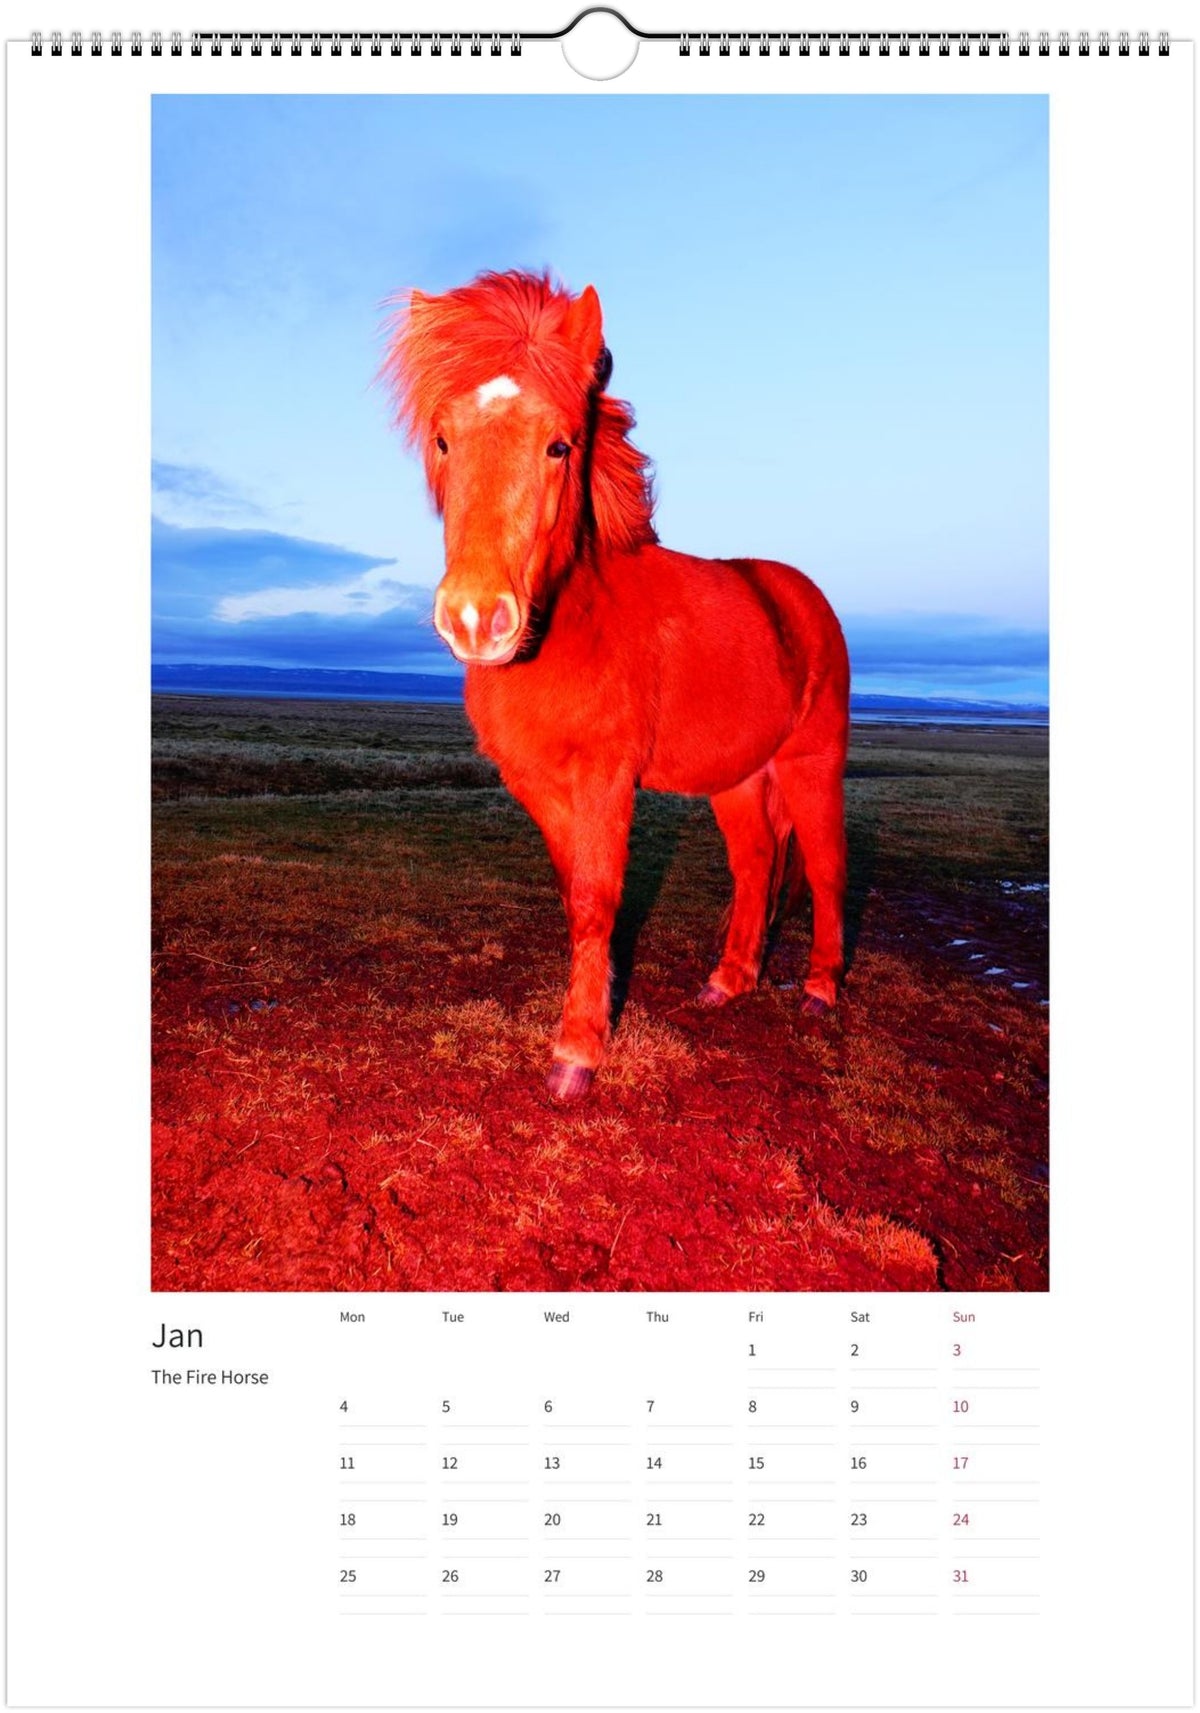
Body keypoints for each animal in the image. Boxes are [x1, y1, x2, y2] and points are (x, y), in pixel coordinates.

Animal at [383, 271, 849, 1102]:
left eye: (559, 445)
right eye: (443, 440)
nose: (475, 617)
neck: (574, 624)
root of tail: (801, 596)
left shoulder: (607, 778)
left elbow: (599, 901)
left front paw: (576, 1053)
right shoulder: (537, 783)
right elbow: (577, 894)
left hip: (810, 764)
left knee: (826, 868)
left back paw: (822, 989)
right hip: (737, 777)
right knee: (756, 862)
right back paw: (728, 981)